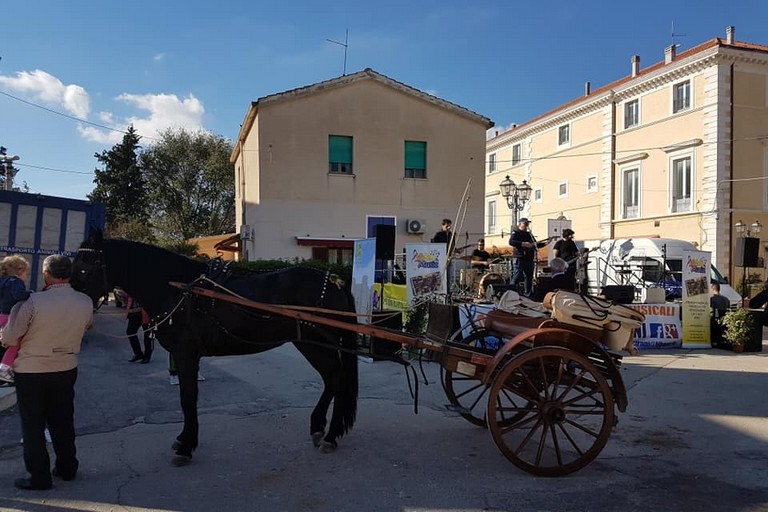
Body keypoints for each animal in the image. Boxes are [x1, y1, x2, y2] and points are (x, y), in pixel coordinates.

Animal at [70, 230, 358, 466]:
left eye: (83, 267)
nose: (73, 299)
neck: (178, 289)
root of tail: (335, 282)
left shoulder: (186, 354)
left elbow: (188, 398)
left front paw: (186, 446)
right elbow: (187, 398)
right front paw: (184, 439)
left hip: (317, 345)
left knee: (336, 379)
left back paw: (330, 435)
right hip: (310, 344)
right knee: (332, 381)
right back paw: (319, 427)